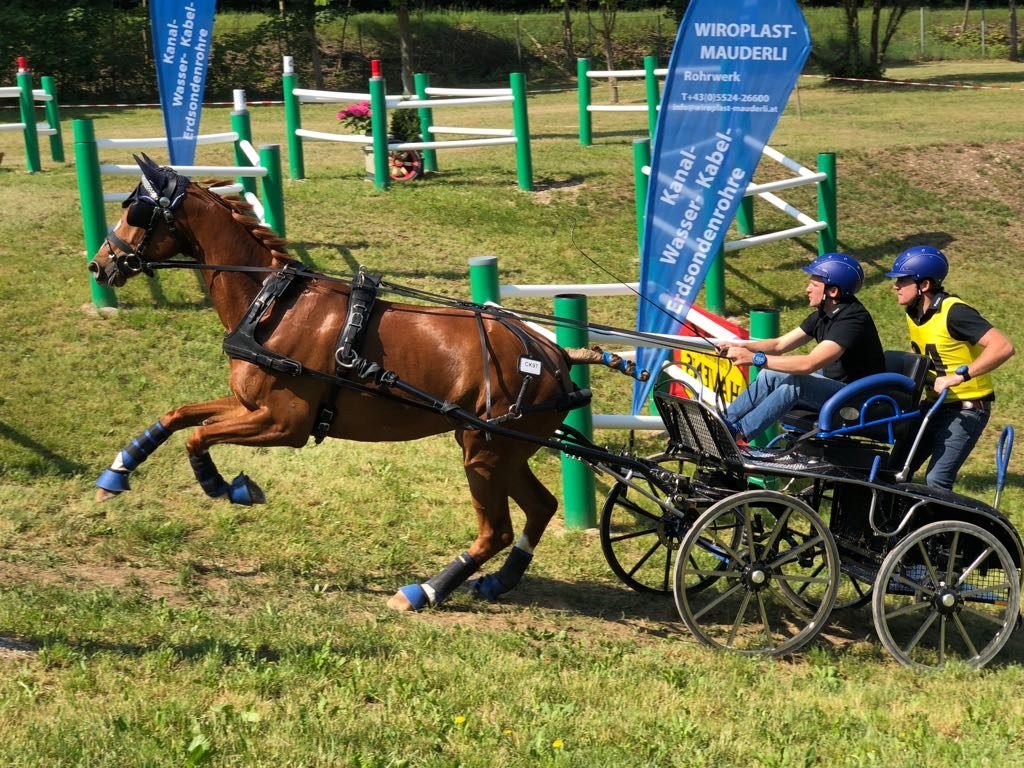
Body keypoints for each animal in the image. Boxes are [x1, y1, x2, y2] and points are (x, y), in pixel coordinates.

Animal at [88, 156, 634, 614]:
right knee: (540, 507)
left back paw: (425, 590)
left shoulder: (283, 424)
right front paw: (120, 469)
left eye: (136, 210)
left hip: (484, 452)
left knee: (495, 531)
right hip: (502, 451)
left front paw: (226, 485)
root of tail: (555, 354)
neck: (273, 304)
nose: (99, 264)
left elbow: (199, 437)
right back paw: (500, 581)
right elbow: (178, 416)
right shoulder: (248, 405)